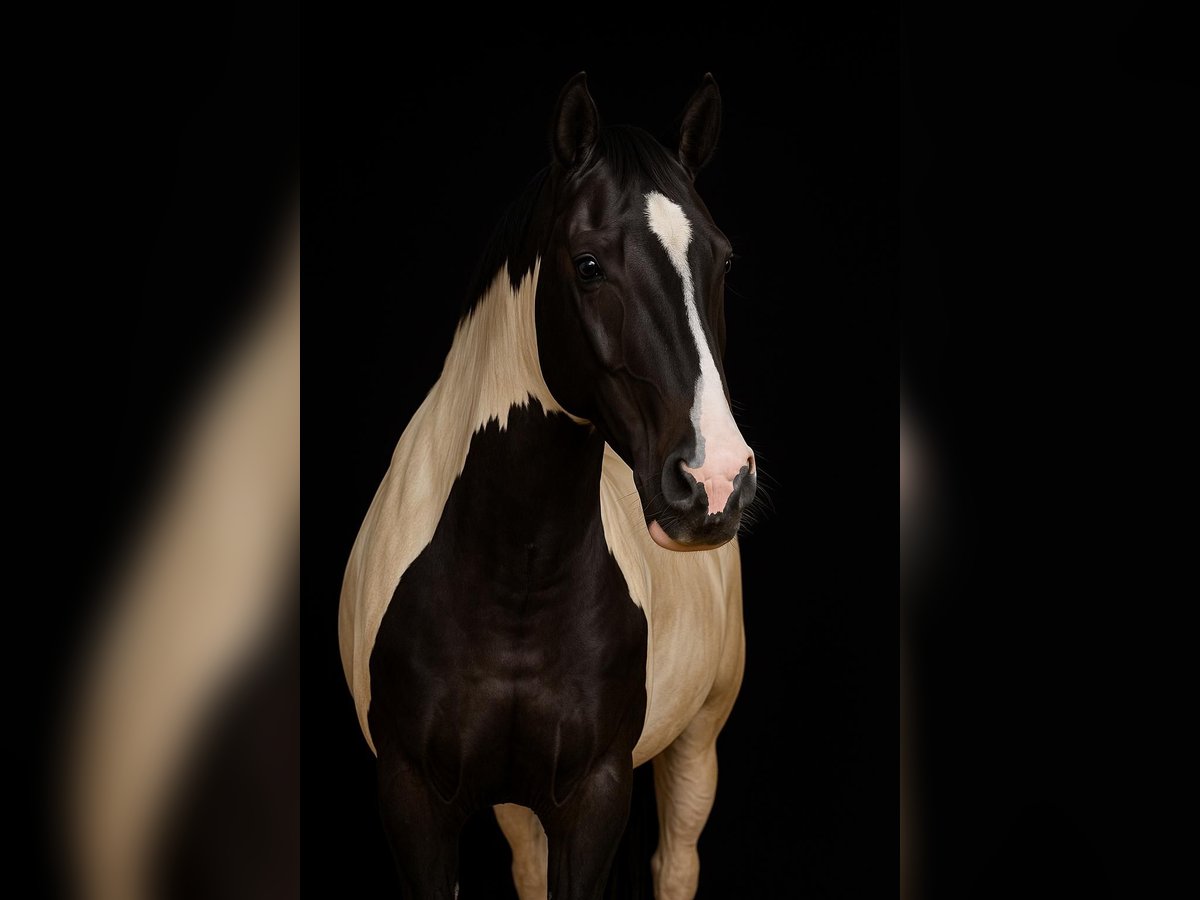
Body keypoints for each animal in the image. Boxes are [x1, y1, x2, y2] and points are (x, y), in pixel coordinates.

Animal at [339, 72, 756, 900]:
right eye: (588, 264)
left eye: (723, 262)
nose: (716, 480)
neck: (513, 572)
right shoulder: (413, 801)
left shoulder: (594, 796)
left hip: (697, 741)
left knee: (676, 863)